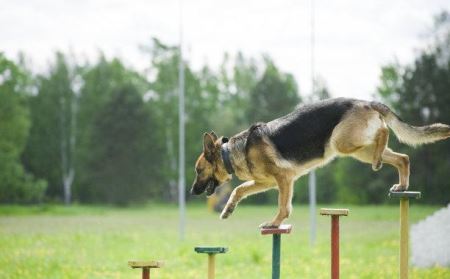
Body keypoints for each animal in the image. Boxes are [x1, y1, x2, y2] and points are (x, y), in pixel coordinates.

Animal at [190, 98, 450, 228]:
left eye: (198, 170)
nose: (192, 192)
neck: (230, 152)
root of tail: (365, 101)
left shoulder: (284, 179)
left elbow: (283, 207)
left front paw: (274, 223)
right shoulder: (267, 182)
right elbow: (239, 189)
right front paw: (228, 209)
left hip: (342, 142)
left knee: (384, 131)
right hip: (359, 150)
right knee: (402, 157)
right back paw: (401, 184)